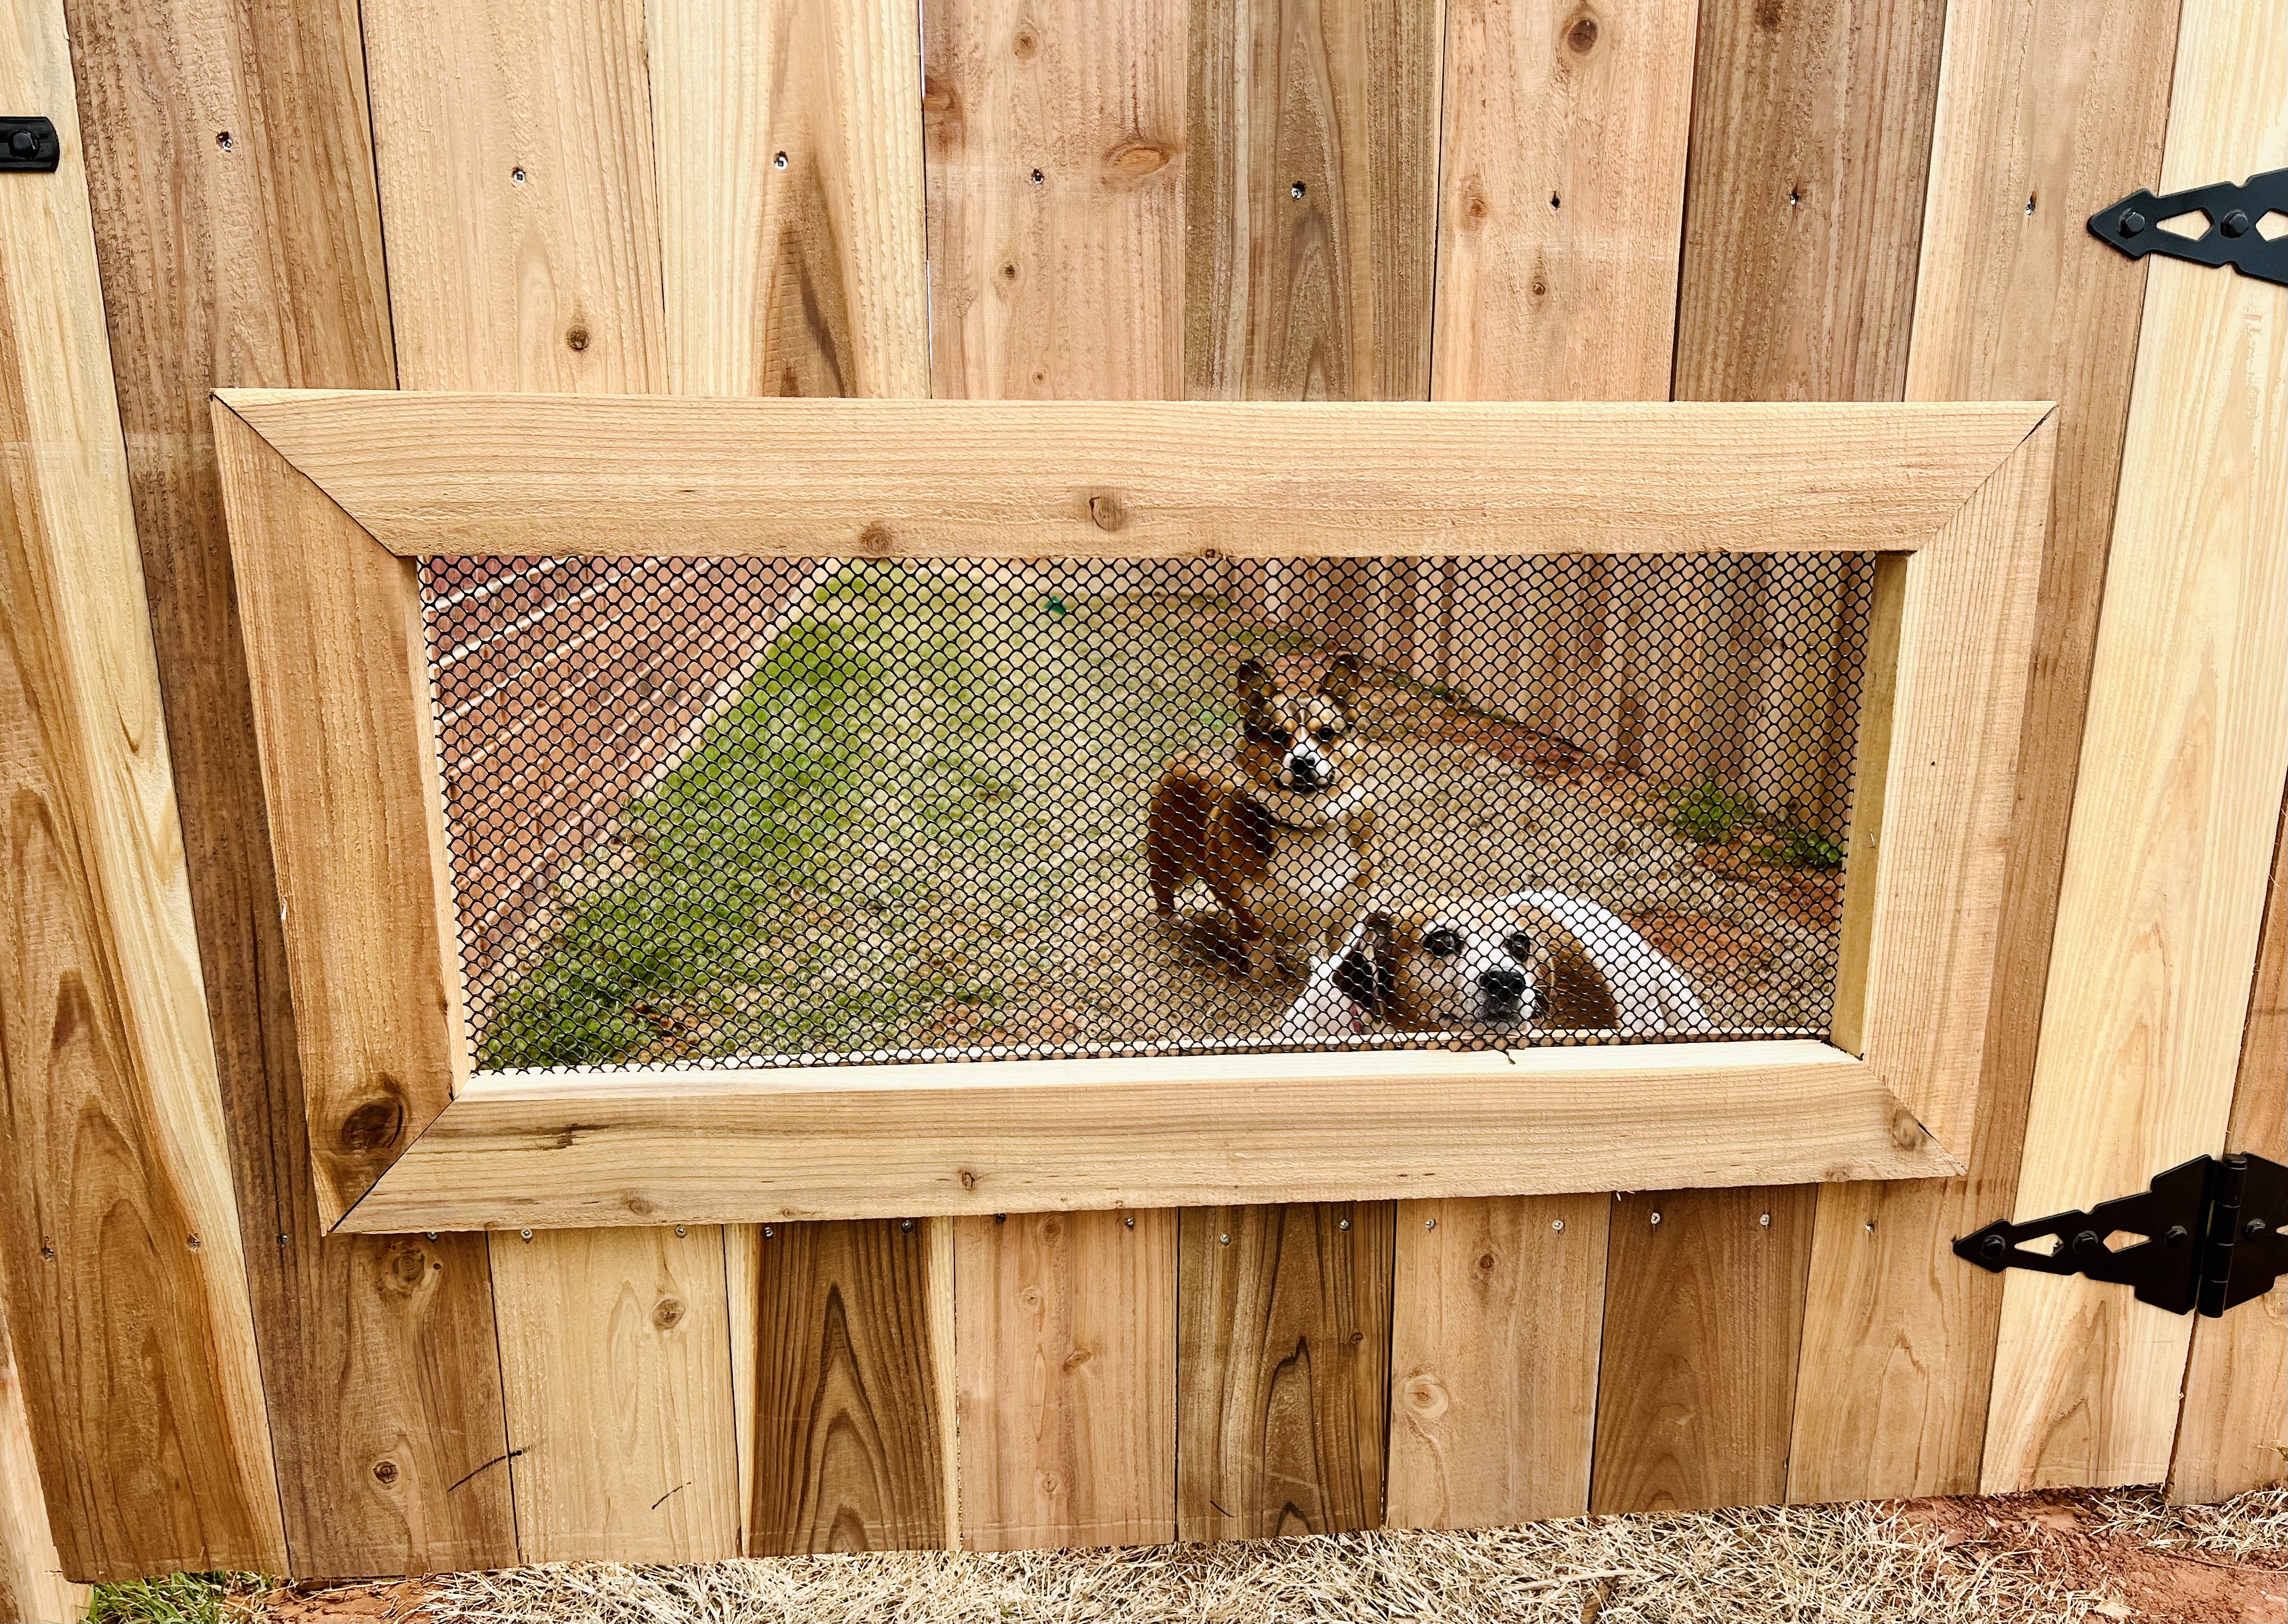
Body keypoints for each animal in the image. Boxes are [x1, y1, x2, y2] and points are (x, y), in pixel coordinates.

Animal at [1144, 654, 1373, 979]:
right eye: (1277, 735)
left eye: (1326, 733)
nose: (1303, 762)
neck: (1303, 827)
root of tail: (1185, 754)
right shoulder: (1247, 908)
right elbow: (1261, 952)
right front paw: (1264, 983)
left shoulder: (1348, 912)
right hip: (1167, 860)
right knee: (1164, 897)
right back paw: (1172, 928)